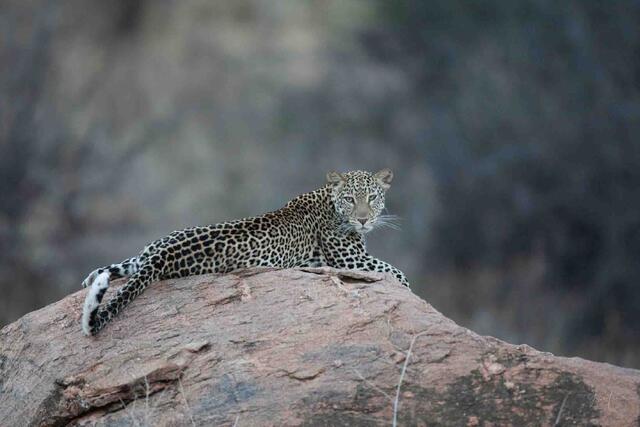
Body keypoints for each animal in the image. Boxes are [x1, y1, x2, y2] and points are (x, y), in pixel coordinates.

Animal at [81, 169, 409, 336]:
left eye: (373, 198)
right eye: (350, 199)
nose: (364, 219)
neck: (329, 200)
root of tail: (162, 254)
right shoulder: (349, 259)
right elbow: (397, 272)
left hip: (146, 251)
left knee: (116, 268)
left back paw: (91, 277)